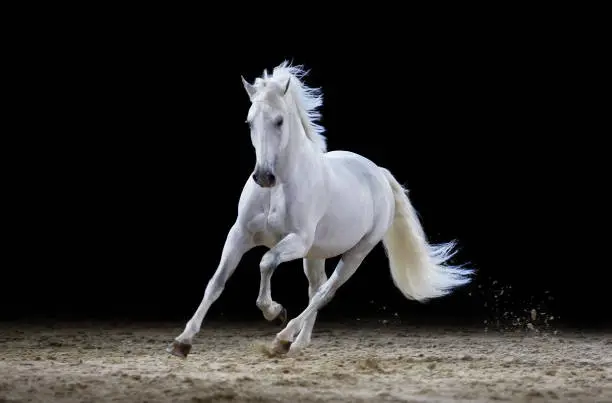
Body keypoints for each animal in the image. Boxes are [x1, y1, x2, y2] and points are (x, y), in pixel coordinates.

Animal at [167, 61, 474, 358]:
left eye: (279, 120)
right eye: (249, 122)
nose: (264, 177)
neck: (278, 189)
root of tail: (378, 172)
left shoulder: (297, 241)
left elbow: (266, 262)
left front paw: (274, 311)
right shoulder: (240, 235)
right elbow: (216, 282)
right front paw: (182, 342)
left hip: (356, 252)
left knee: (325, 292)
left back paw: (282, 338)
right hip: (315, 254)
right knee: (316, 288)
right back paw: (297, 344)